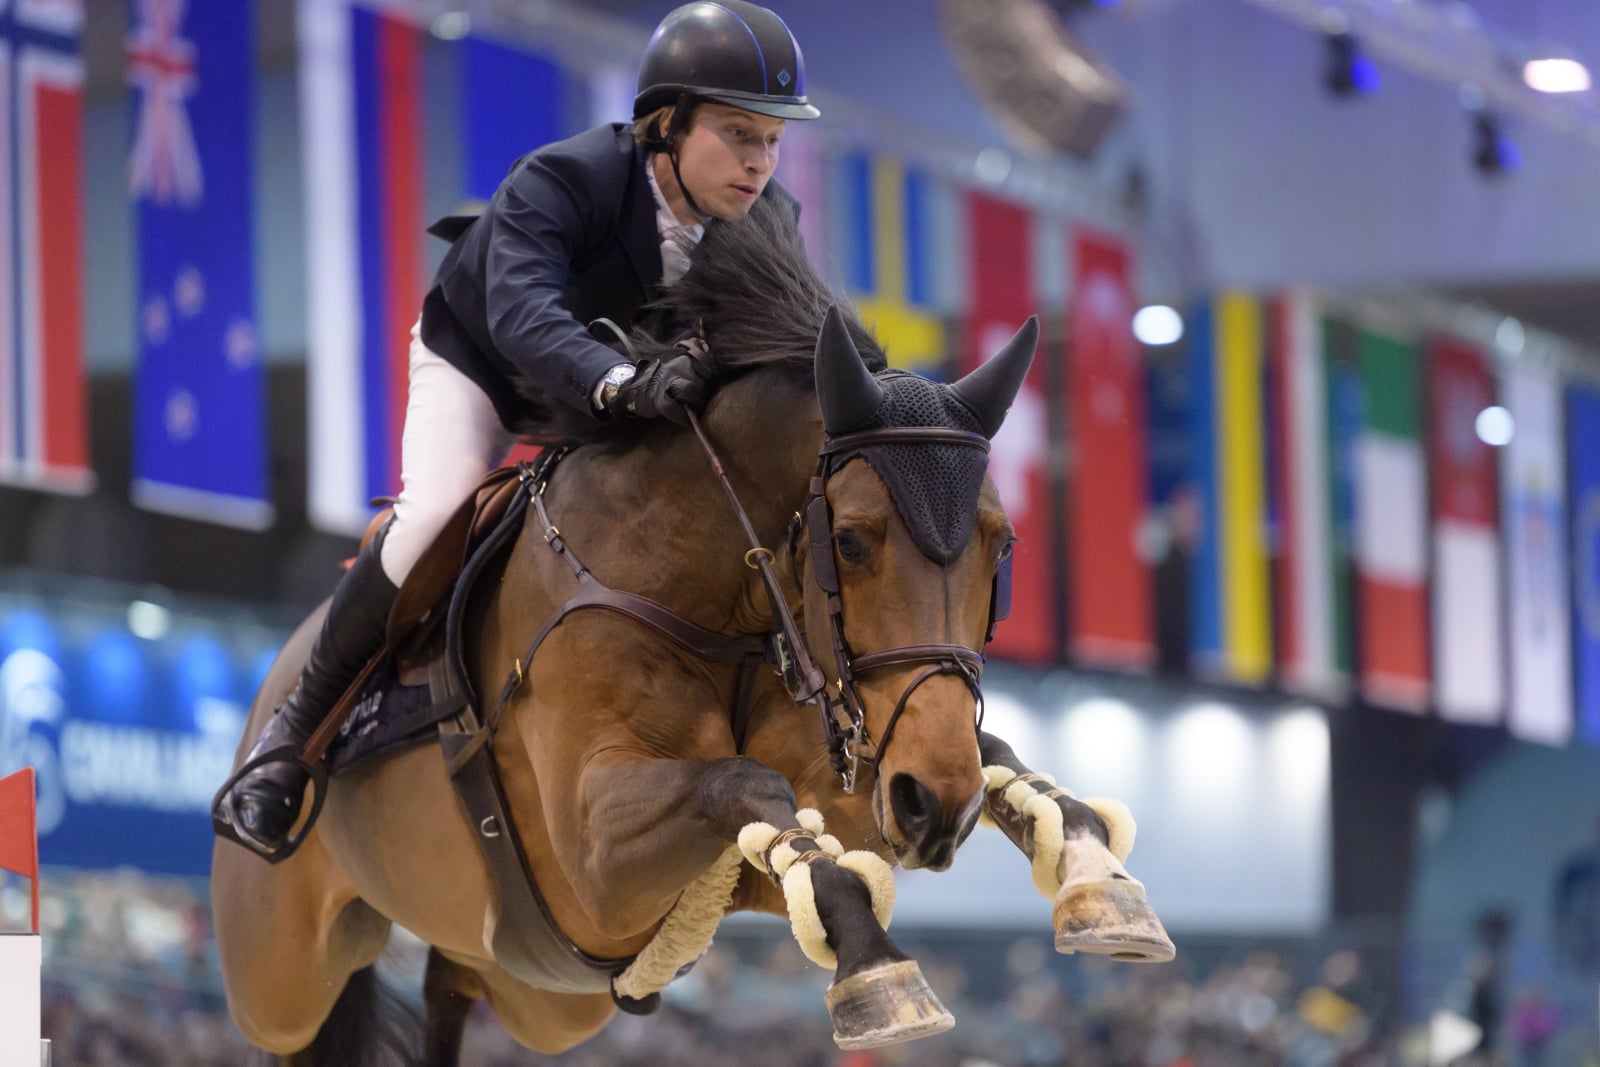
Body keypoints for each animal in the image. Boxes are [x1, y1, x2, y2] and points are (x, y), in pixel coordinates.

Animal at [212, 195, 1171, 1062]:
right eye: (852, 541)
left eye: (1003, 546)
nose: (934, 807)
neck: (717, 600)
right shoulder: (596, 861)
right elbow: (743, 783)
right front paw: (877, 975)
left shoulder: (825, 807)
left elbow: (989, 765)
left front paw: (1100, 883)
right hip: (280, 981)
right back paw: (267, 793)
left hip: (531, 993)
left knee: (448, 988)